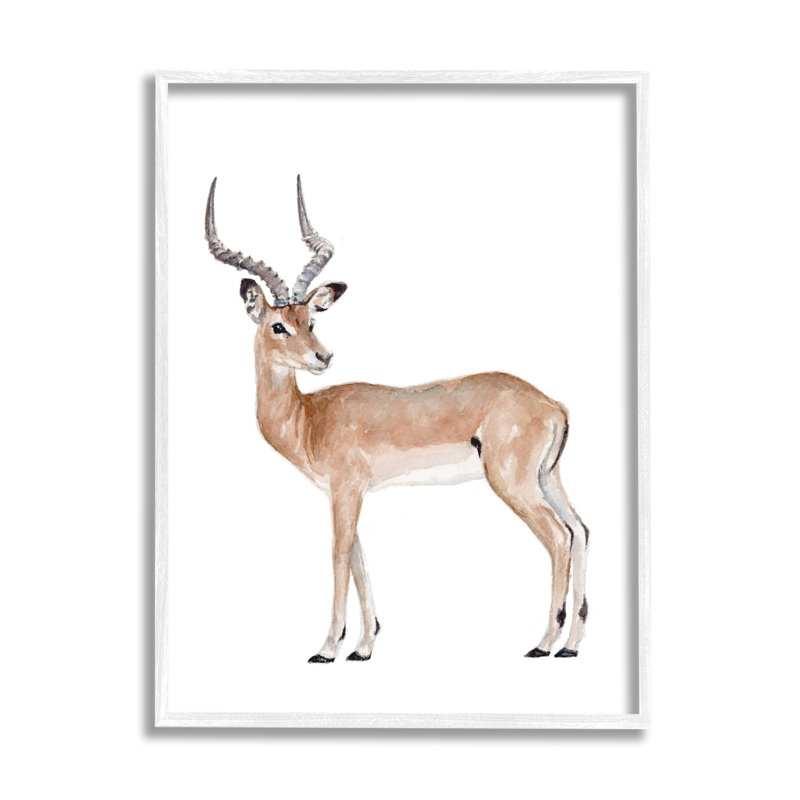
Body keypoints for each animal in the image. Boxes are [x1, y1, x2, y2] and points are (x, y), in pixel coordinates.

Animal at [205, 176, 590, 662]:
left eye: (310, 320)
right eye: (279, 325)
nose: (322, 357)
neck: (310, 417)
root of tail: (552, 404)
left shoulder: (346, 492)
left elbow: (338, 556)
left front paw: (326, 649)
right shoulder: (344, 494)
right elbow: (358, 559)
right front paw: (363, 647)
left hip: (514, 484)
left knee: (559, 538)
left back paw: (542, 644)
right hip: (547, 477)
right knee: (580, 530)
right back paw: (571, 646)